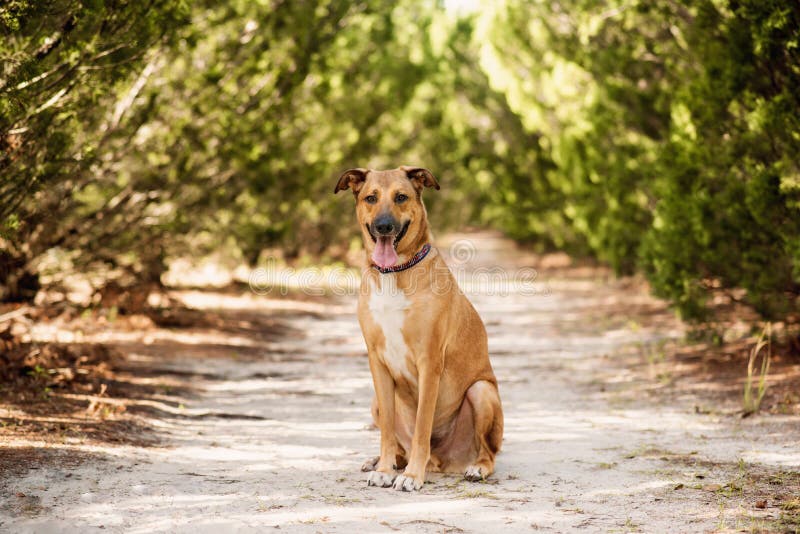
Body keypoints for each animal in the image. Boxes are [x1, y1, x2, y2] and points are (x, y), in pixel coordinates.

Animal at [334, 165, 504, 492]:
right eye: (371, 198)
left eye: (401, 197)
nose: (383, 227)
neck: (394, 273)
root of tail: (441, 462)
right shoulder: (376, 362)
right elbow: (387, 430)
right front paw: (385, 469)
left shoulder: (429, 362)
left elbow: (423, 426)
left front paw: (412, 475)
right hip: (375, 400)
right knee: (397, 440)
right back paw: (382, 461)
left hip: (481, 391)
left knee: (490, 452)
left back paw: (474, 467)